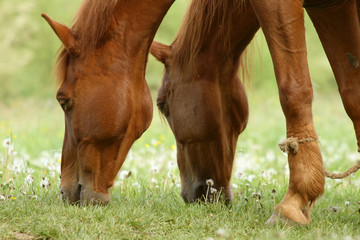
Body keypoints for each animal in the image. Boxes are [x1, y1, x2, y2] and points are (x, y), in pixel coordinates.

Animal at [150, 0, 360, 225]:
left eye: (161, 104)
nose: (191, 196)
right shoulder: (331, 7)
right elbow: (352, 94)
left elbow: (293, 90)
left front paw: (293, 202)